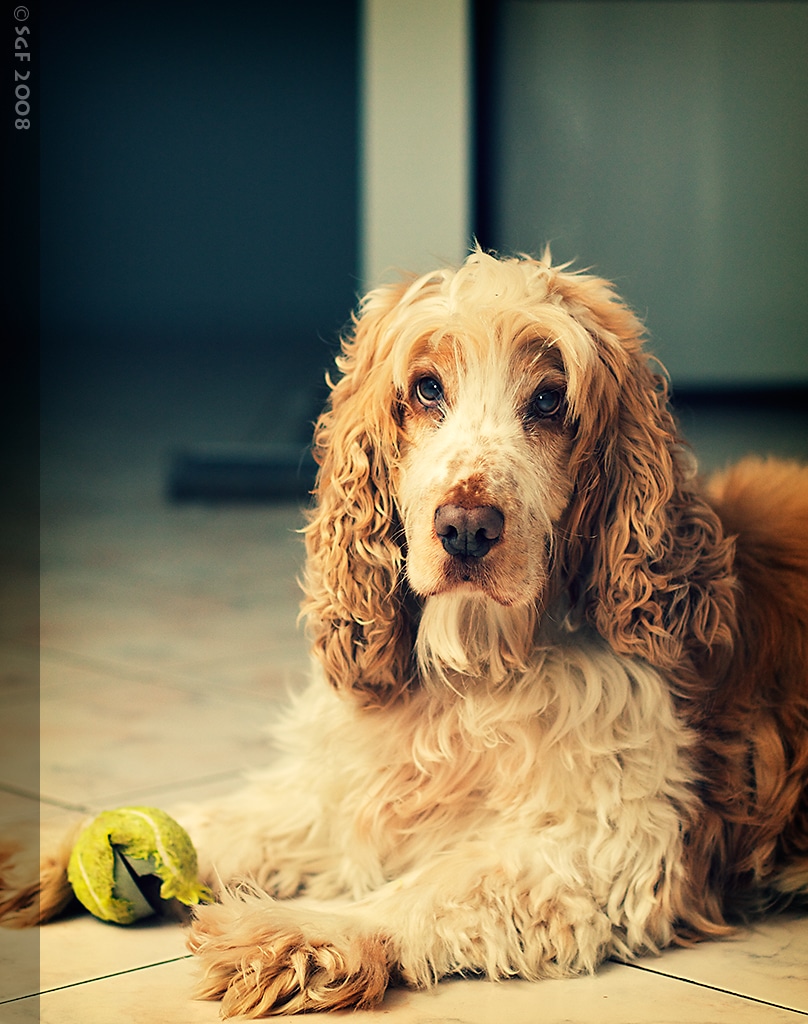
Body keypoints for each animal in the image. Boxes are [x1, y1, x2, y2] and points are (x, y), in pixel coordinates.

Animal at [1, 249, 806, 1015]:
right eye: (426, 389)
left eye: (550, 399)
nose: (466, 528)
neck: (479, 666)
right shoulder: (345, 789)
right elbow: (240, 820)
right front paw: (47, 850)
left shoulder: (615, 845)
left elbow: (439, 886)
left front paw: (307, 934)